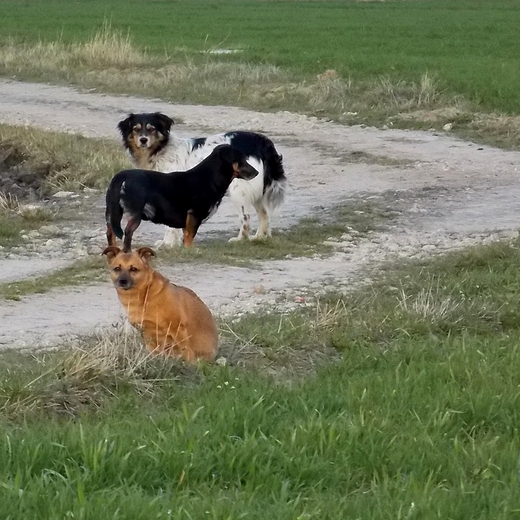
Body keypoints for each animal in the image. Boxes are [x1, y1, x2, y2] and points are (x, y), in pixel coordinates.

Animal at [105, 144, 258, 252]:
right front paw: (191, 250)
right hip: (135, 214)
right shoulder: (194, 214)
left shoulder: (188, 220)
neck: (209, 177)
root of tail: (121, 176)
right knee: (127, 232)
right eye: (241, 160)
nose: (256, 172)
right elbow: (190, 236)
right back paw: (127, 252)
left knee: (110, 232)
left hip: (112, 212)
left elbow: (186, 237)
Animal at [118, 111, 286, 246]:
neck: (161, 150)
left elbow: (170, 226)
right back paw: (260, 237)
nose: (143, 140)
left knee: (246, 217)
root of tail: (260, 141)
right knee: (264, 214)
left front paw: (169, 244)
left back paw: (240, 239)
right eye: (136, 129)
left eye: (151, 129)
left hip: (239, 189)